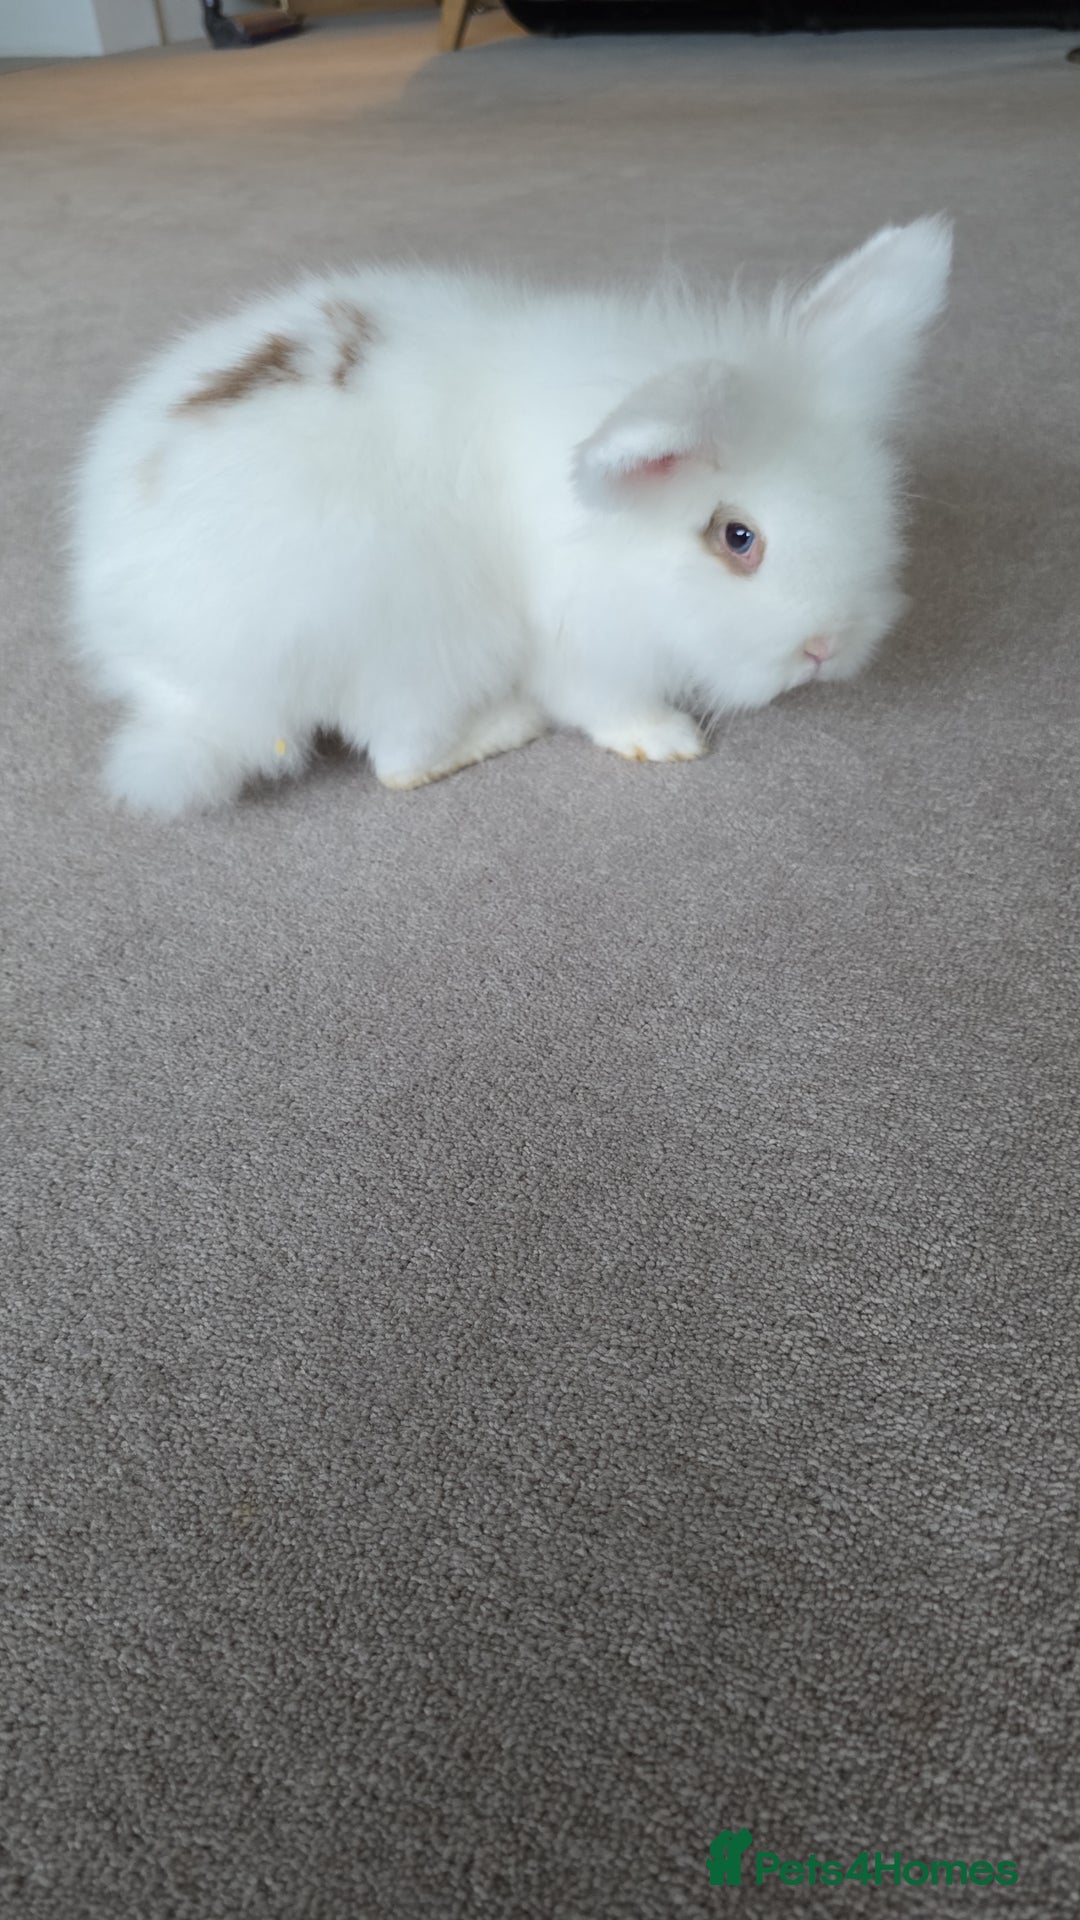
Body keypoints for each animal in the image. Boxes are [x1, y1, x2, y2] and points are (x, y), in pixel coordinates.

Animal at [69, 217, 952, 816]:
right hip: (417, 650)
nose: (827, 648)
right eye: (737, 538)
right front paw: (667, 739)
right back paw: (507, 726)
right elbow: (602, 703)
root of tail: (181, 689)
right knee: (399, 760)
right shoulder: (577, 642)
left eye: (876, 503)